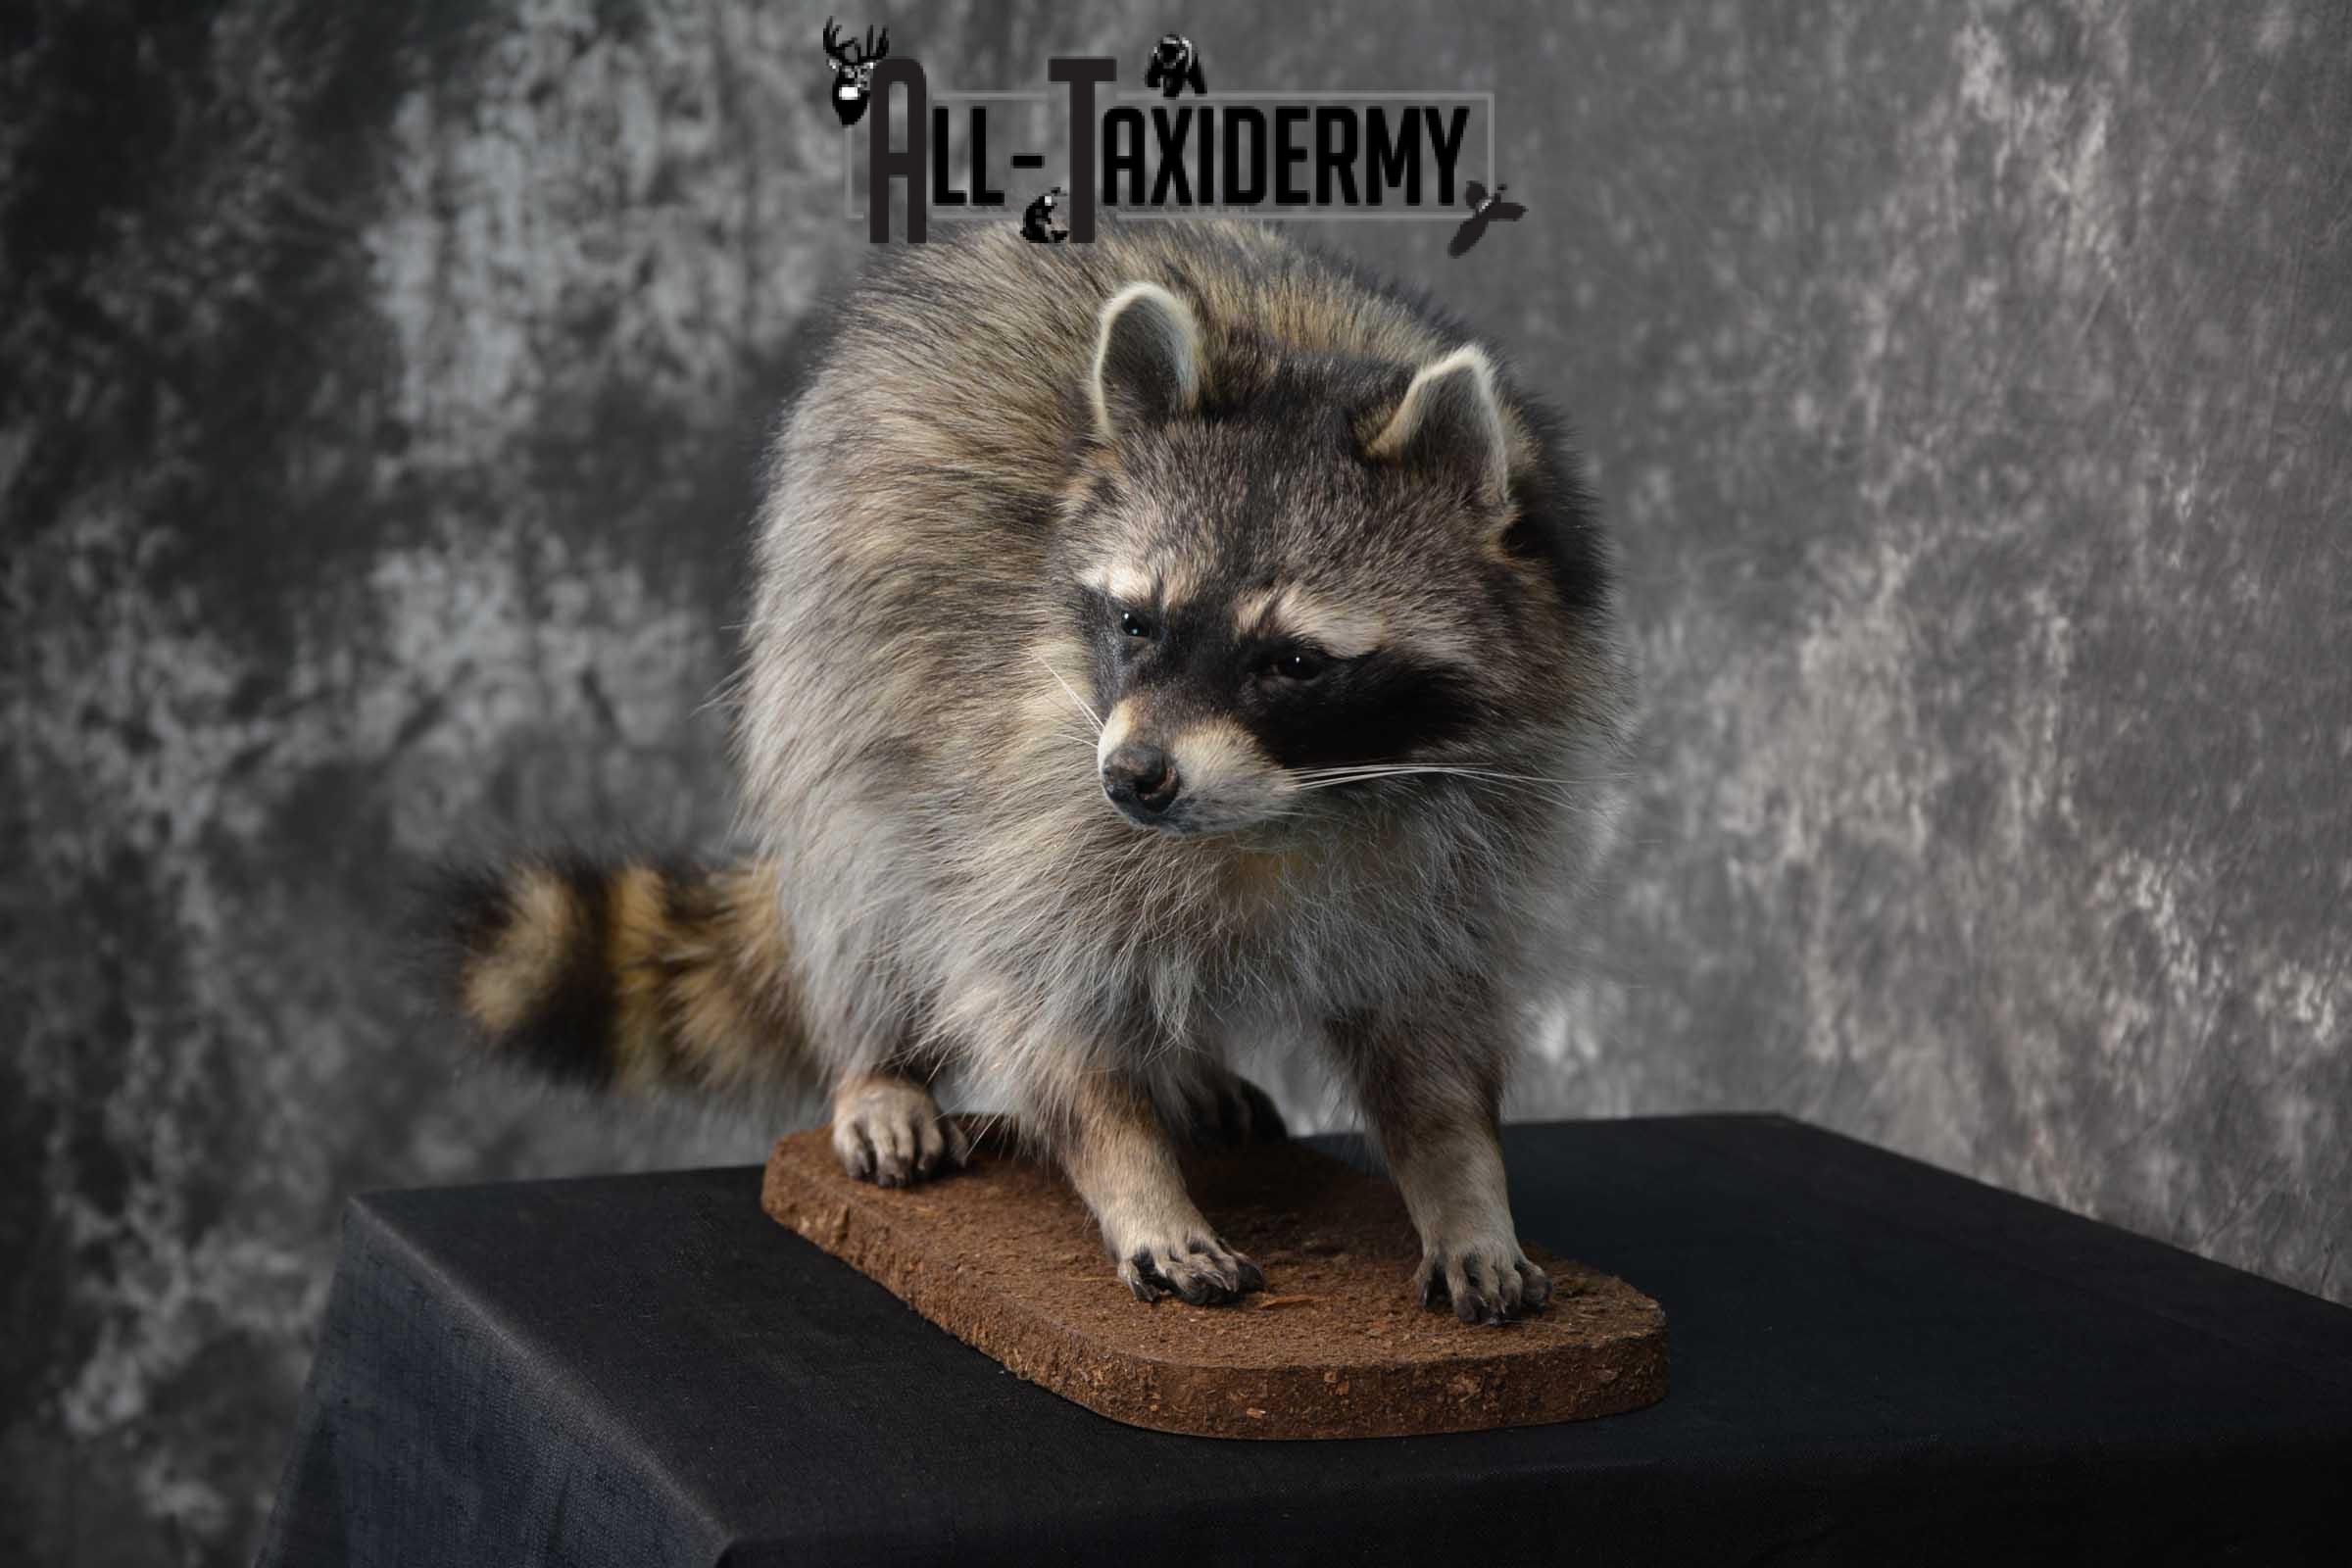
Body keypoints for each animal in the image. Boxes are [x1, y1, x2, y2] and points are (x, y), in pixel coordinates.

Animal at [445, 220, 1627, 1323]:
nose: (1137, 777)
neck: (1283, 808)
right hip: (821, 657)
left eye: (1292, 662)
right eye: (1138, 622)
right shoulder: (1027, 774)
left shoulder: (1481, 822)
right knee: (862, 866)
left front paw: (1463, 1185)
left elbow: (1434, 1029)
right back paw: (877, 1060)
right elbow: (1034, 1004)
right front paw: (1133, 1173)